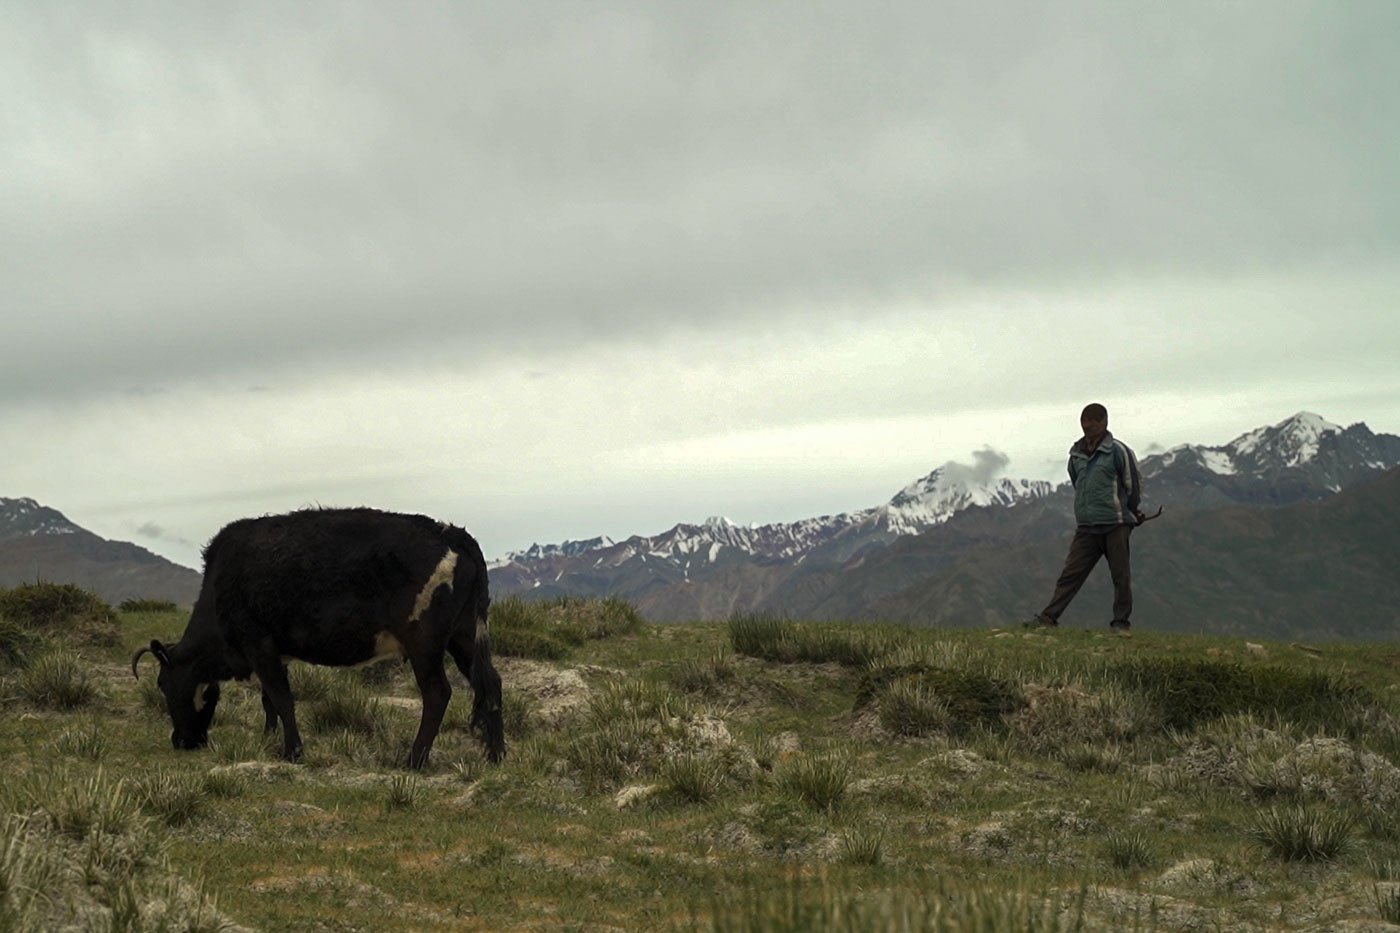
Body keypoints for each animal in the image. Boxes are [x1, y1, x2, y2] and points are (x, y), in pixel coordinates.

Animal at [131, 509, 504, 762]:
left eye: (162, 684)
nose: (180, 741)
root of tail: (450, 532)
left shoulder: (258, 644)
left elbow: (282, 698)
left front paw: (292, 752)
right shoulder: (275, 653)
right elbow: (270, 701)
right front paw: (269, 740)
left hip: (423, 642)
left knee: (438, 693)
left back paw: (414, 760)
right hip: (463, 636)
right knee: (490, 682)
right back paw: (495, 754)